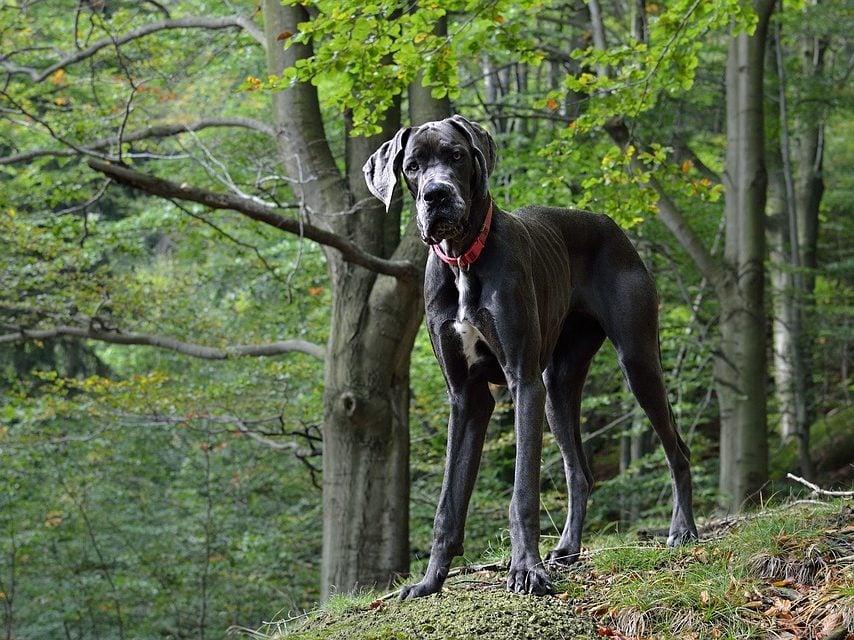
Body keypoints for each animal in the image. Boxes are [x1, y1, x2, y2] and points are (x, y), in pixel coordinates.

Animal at [364, 115, 700, 600]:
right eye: (412, 166)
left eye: (456, 155)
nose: (436, 195)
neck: (464, 261)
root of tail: (610, 224)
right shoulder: (467, 398)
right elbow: (448, 503)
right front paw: (429, 582)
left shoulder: (523, 381)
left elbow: (522, 492)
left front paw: (525, 569)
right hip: (558, 387)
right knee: (579, 472)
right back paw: (569, 548)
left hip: (637, 361)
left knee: (677, 450)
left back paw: (683, 530)